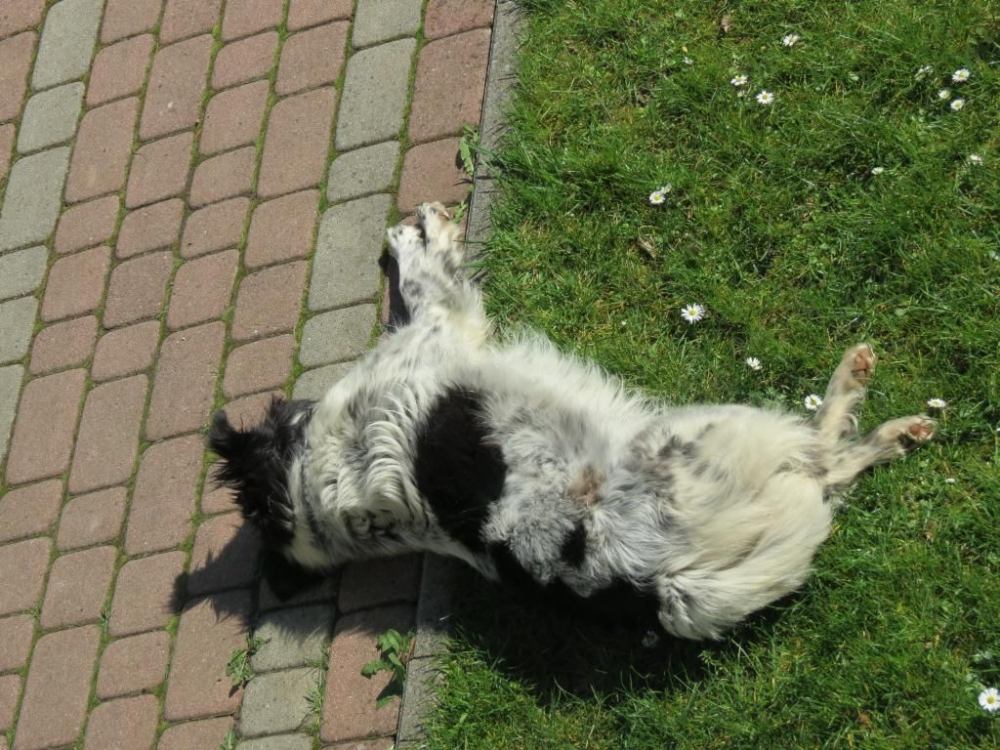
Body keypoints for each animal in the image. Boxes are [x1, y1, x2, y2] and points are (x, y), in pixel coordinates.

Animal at [208, 202, 935, 640]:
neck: (316, 488)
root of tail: (666, 586)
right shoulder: (438, 329)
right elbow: (423, 279)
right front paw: (420, 236)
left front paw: (417, 232)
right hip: (713, 433)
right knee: (828, 456)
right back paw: (863, 391)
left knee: (838, 463)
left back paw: (892, 427)